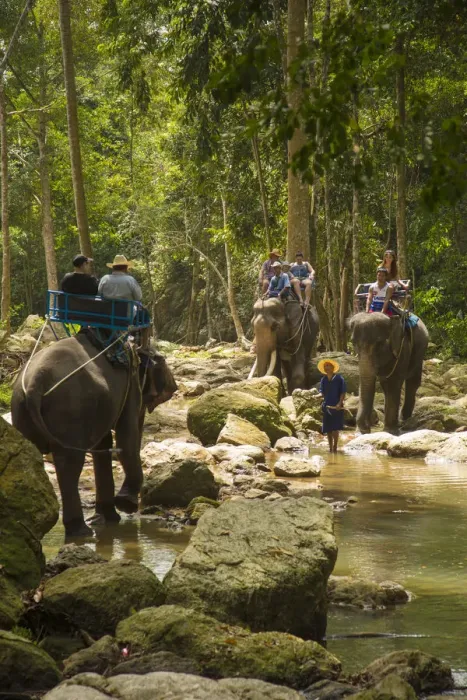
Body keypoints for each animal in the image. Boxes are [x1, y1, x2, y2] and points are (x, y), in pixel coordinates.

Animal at [11, 334, 177, 537]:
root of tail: (36, 382)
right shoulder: (130, 383)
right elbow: (126, 436)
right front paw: (125, 504)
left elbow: (104, 444)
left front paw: (108, 518)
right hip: (70, 408)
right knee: (70, 465)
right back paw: (81, 530)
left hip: (22, 407)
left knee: (30, 458)